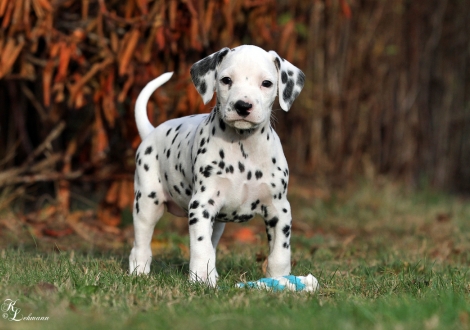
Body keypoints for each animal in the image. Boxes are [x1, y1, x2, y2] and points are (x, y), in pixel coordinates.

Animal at [129, 44, 304, 286]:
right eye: (226, 80)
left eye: (267, 83)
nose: (243, 106)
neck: (243, 146)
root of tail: (151, 132)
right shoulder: (202, 205)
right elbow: (201, 247)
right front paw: (202, 278)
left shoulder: (279, 209)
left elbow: (280, 252)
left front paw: (280, 279)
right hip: (147, 203)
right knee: (141, 244)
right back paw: (139, 272)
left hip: (218, 222)